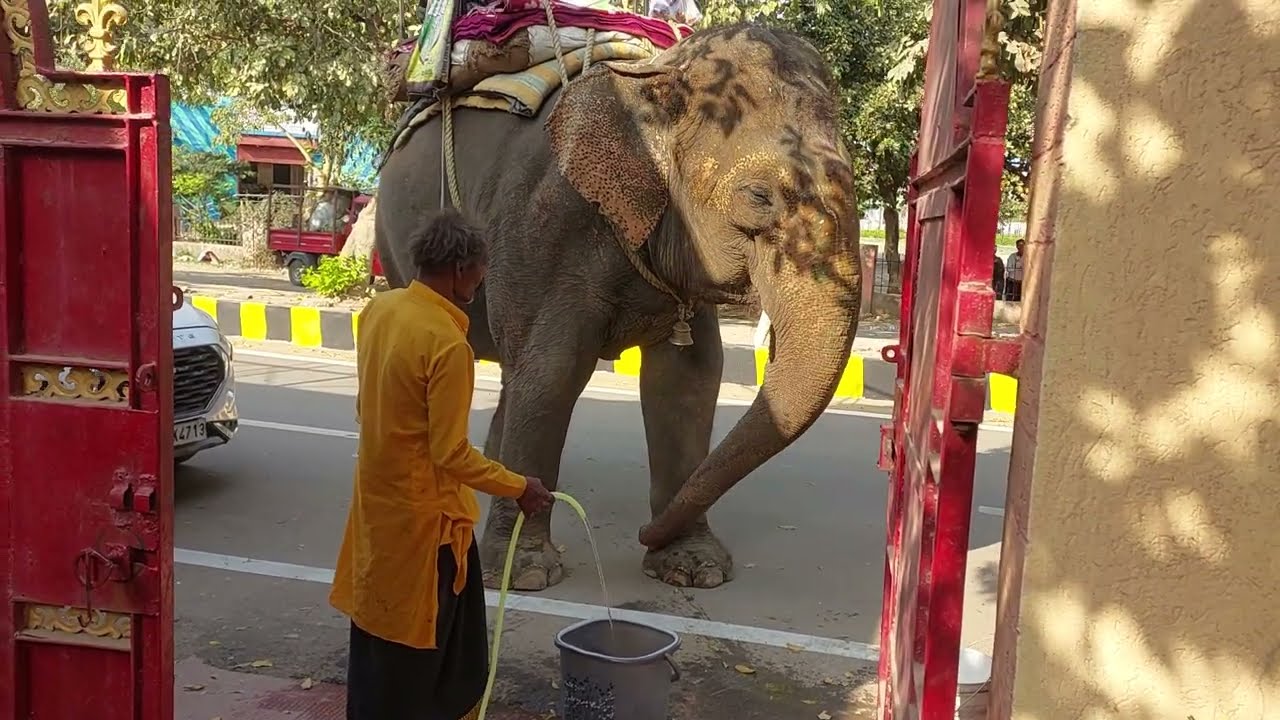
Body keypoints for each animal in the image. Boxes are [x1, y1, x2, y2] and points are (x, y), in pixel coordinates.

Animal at [375, 22, 861, 591]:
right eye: (759, 196)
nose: (644, 534)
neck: (652, 80)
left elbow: (688, 377)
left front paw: (692, 567)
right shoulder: (546, 222)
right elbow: (554, 371)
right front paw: (524, 574)